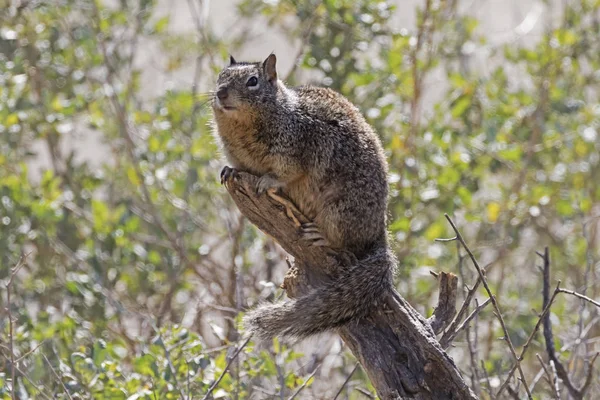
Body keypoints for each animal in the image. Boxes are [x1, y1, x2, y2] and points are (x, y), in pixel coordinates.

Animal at [211, 53, 394, 340]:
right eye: (220, 76)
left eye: (252, 81)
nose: (220, 93)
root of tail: (379, 231)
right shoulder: (239, 155)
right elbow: (239, 167)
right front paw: (230, 171)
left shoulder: (294, 149)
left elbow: (285, 174)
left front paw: (267, 181)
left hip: (339, 212)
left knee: (346, 244)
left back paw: (321, 235)